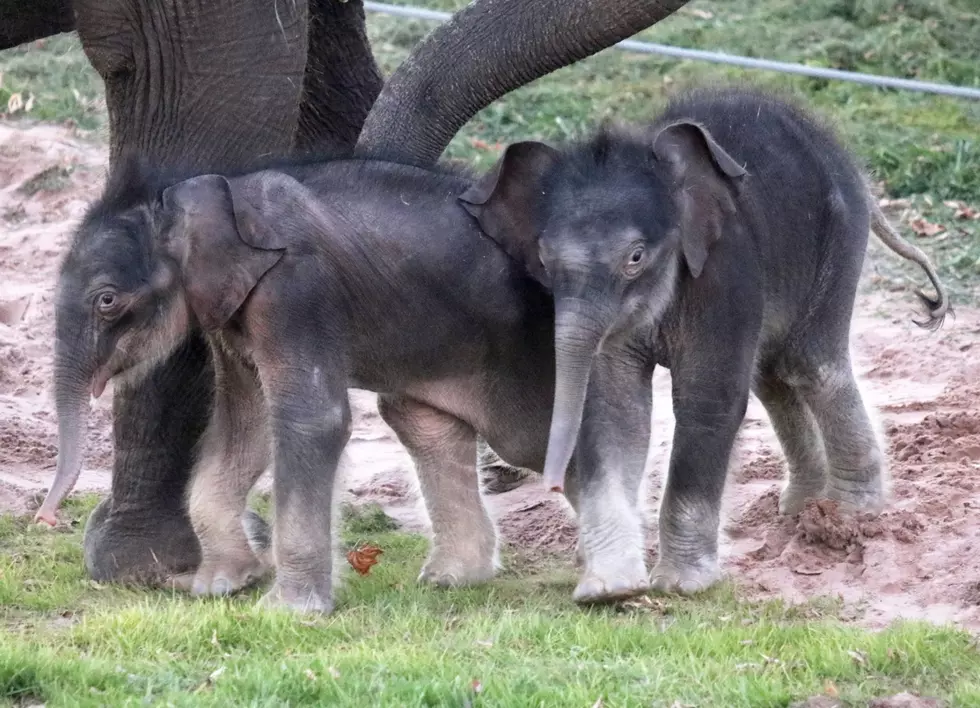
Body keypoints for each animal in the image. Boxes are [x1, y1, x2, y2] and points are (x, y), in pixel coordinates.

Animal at [462, 87, 948, 596]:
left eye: (635, 257)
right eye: (544, 260)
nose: (552, 484)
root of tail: (850, 162)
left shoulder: (723, 270)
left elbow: (707, 399)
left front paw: (680, 586)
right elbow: (616, 408)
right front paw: (610, 588)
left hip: (838, 236)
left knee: (810, 365)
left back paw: (852, 513)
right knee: (772, 374)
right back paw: (802, 507)